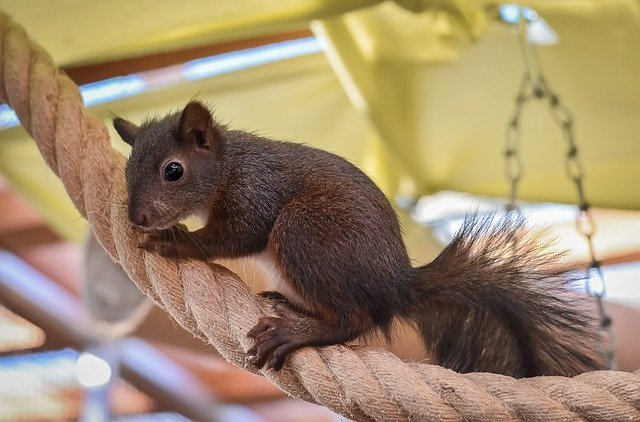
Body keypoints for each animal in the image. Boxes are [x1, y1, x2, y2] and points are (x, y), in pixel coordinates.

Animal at [112, 101, 608, 376]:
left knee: (354, 319)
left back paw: (296, 331)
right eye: (128, 169)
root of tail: (397, 284)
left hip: (305, 230)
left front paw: (174, 241)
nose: (138, 216)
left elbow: (235, 236)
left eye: (173, 171)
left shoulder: (256, 193)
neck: (228, 164)